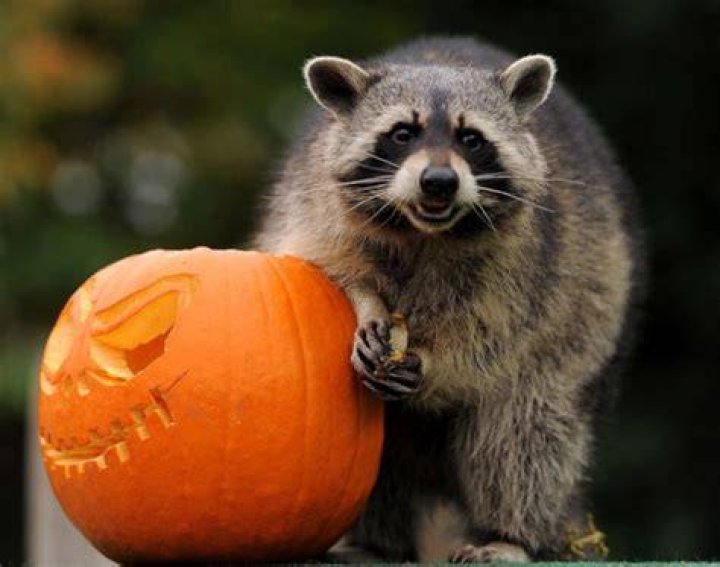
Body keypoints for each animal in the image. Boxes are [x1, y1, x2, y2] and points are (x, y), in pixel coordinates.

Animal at [253, 37, 642, 562]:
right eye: (402, 133)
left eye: (471, 139)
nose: (438, 181)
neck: (424, 230)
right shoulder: (312, 205)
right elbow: (320, 264)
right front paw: (365, 303)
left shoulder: (533, 254)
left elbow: (494, 332)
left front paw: (434, 358)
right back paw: (379, 542)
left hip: (586, 330)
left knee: (527, 429)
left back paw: (509, 533)